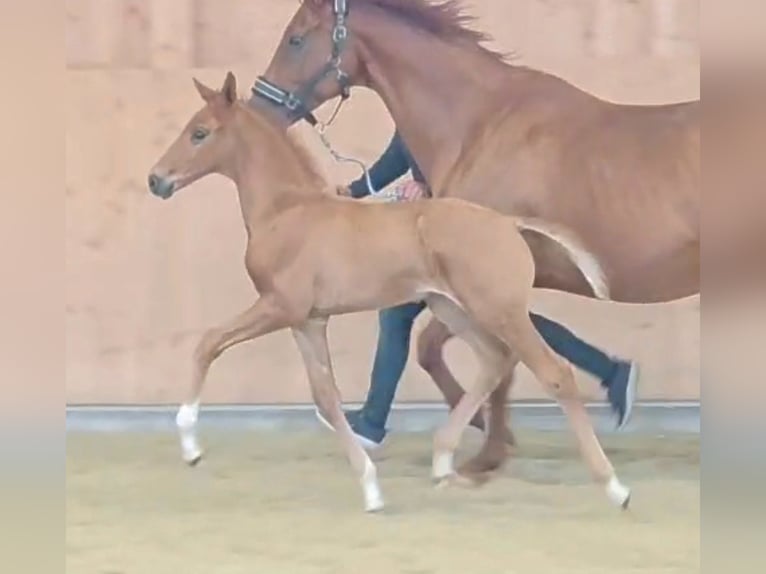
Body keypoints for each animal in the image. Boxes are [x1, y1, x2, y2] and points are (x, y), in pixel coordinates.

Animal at [147, 71, 631, 513]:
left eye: (200, 132)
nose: (156, 180)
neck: (287, 211)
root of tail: (509, 224)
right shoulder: (309, 320)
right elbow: (326, 395)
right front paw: (371, 490)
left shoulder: (280, 306)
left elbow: (208, 342)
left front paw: (191, 445)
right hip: (453, 308)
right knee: (495, 360)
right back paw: (443, 463)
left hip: (498, 310)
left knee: (554, 372)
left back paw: (615, 488)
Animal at [250, 0, 700, 478]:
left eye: (296, 39)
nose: (258, 108)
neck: (479, 125)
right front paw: (491, 438)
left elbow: (469, 353)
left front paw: (487, 446)